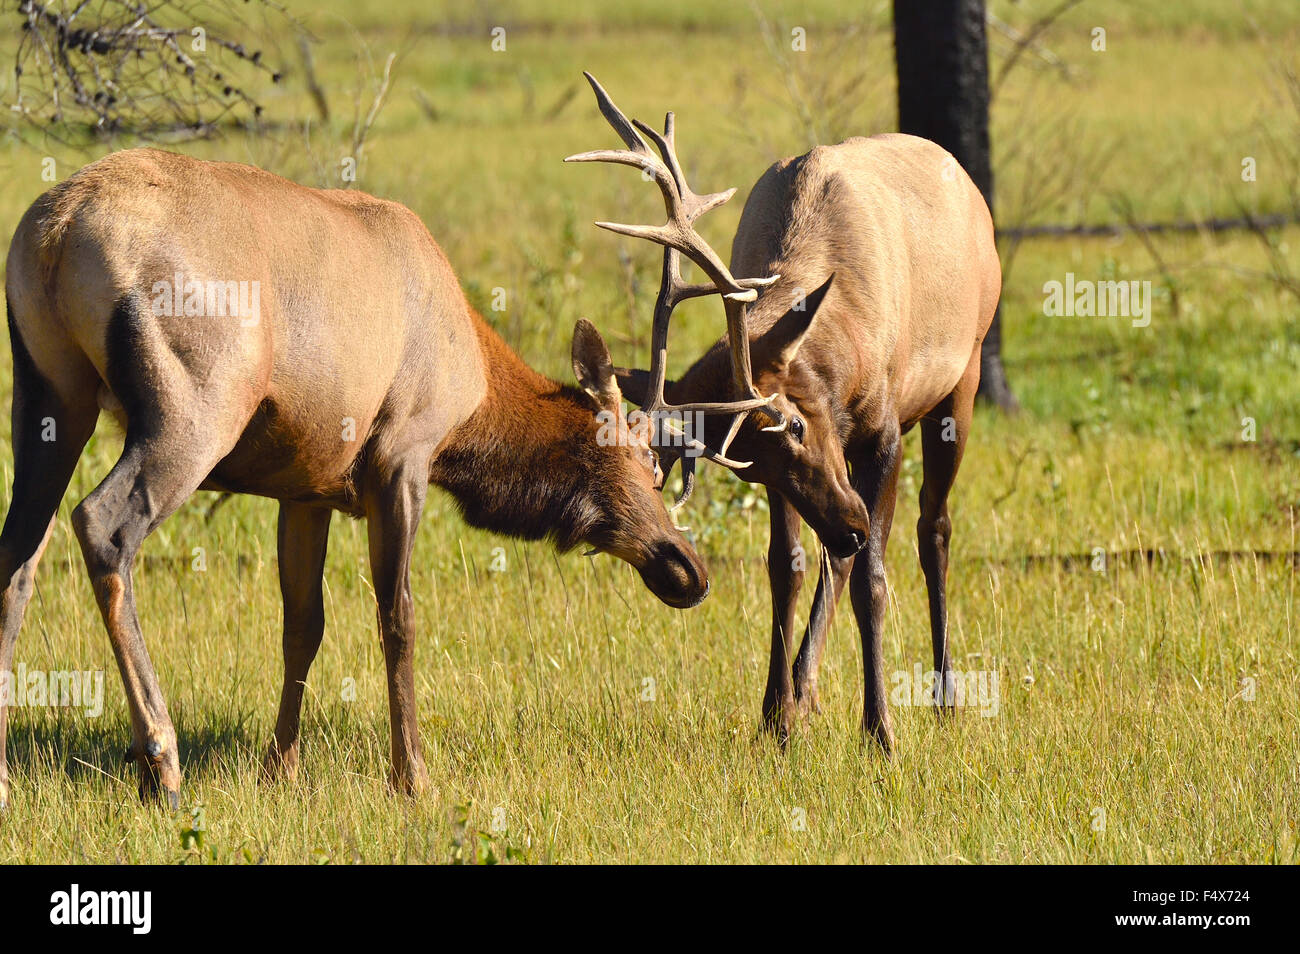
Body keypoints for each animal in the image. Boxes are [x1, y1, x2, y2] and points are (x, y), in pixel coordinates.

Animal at [0, 145, 722, 811]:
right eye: (648, 466)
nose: (688, 568)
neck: (476, 396)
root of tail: (55, 232)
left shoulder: (305, 486)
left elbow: (302, 627)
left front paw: (280, 768)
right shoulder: (402, 454)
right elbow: (398, 616)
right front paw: (413, 777)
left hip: (50, 398)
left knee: (19, 550)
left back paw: (8, 776)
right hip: (194, 407)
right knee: (102, 525)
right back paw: (161, 763)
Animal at [569, 74, 1003, 753]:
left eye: (795, 423)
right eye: (748, 464)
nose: (851, 522)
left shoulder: (883, 431)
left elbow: (876, 580)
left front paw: (880, 730)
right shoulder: (800, 484)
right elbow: (786, 569)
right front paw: (775, 716)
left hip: (965, 377)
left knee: (933, 530)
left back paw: (944, 696)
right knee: (837, 559)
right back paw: (806, 688)